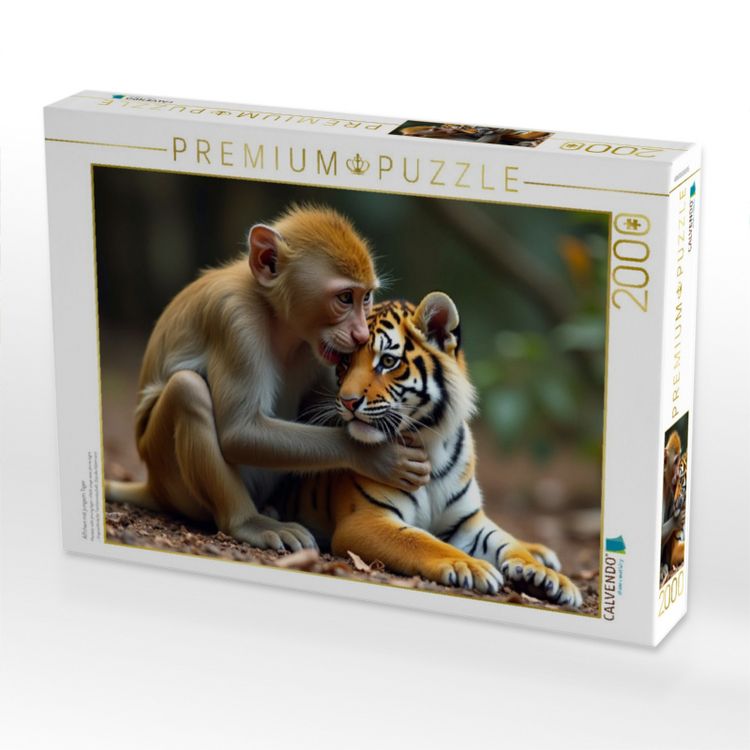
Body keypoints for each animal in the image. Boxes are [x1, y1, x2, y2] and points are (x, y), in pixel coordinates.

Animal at [272, 291, 583, 607]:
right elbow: (422, 541)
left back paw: (542, 554)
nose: (347, 402)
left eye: (387, 361)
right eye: (345, 362)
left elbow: (508, 543)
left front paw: (547, 577)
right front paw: (471, 565)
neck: (430, 444)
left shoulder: (469, 522)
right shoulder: (366, 520)